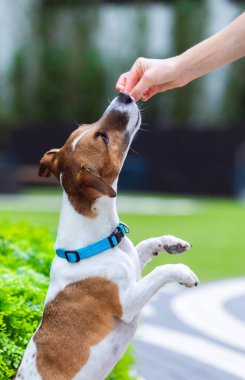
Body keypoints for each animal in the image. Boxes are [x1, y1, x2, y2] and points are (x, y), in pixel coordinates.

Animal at [15, 93, 199, 380]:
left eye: (86, 125)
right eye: (102, 137)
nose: (124, 95)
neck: (97, 242)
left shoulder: (133, 264)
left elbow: (145, 245)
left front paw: (172, 243)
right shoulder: (128, 303)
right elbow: (161, 272)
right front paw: (183, 272)